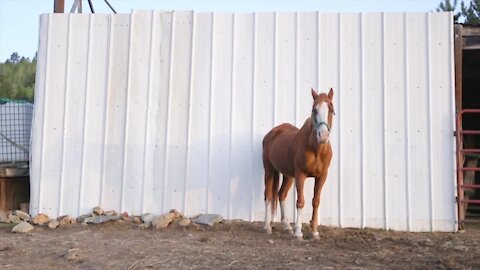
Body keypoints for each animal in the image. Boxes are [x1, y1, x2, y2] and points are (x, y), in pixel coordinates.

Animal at [262, 87, 334, 238]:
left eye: (331, 109)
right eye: (314, 109)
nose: (323, 136)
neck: (316, 149)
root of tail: (271, 133)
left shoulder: (322, 176)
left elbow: (315, 201)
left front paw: (314, 231)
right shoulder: (301, 175)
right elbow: (300, 202)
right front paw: (298, 232)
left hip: (288, 175)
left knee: (281, 194)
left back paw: (286, 226)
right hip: (269, 169)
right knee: (269, 195)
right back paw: (267, 226)